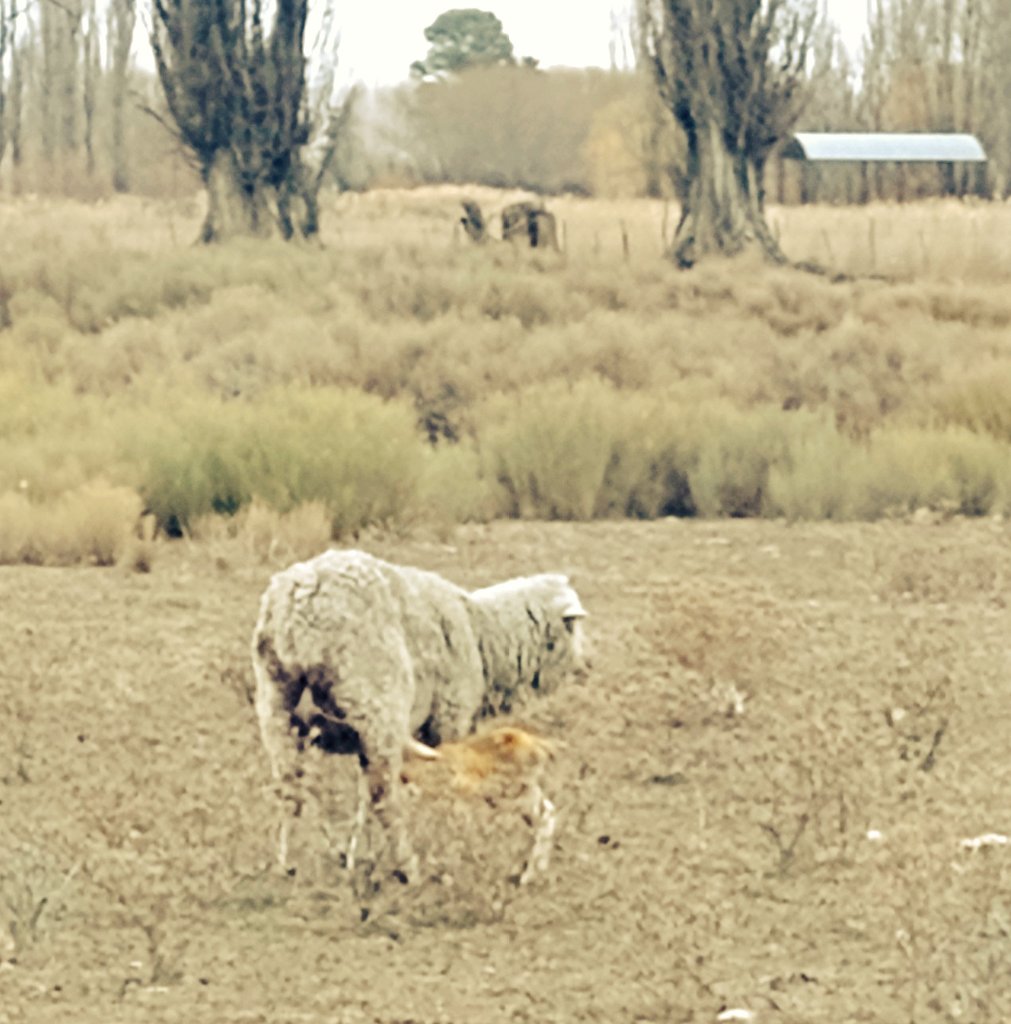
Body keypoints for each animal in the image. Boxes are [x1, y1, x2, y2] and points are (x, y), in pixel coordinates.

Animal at [251, 549, 587, 880]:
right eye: (575, 627)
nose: (587, 666)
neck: (481, 633)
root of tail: (297, 605)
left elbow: (361, 800)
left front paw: (356, 856)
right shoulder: (450, 719)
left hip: (278, 705)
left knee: (290, 790)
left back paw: (288, 864)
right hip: (377, 704)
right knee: (384, 797)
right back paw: (408, 866)